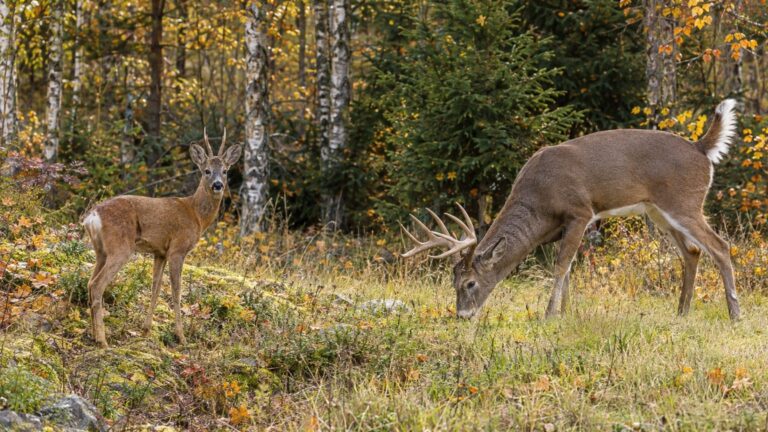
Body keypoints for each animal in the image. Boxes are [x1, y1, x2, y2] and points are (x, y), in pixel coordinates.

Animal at [82, 129, 242, 348]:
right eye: (206, 171)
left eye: (225, 171)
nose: (218, 185)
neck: (195, 215)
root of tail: (93, 216)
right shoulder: (177, 249)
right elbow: (176, 292)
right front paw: (181, 337)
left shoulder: (160, 253)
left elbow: (155, 288)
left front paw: (146, 329)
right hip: (120, 247)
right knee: (97, 285)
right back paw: (102, 340)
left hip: (101, 251)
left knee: (90, 283)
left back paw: (93, 334)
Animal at [402, 99, 741, 322]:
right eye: (453, 281)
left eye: (470, 283)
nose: (462, 315)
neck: (539, 200)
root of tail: (700, 149)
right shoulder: (560, 227)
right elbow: (567, 267)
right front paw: (565, 312)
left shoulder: (580, 212)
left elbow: (561, 266)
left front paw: (550, 314)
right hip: (659, 211)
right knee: (692, 252)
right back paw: (682, 312)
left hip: (684, 203)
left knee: (720, 246)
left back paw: (734, 313)